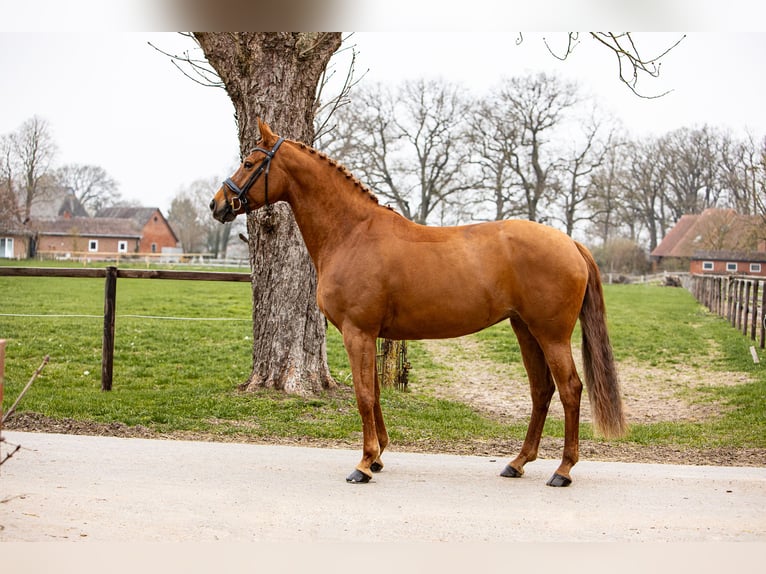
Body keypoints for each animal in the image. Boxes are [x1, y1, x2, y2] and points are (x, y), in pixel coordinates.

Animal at [210, 118, 627, 487]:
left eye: (249, 163)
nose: (218, 204)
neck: (352, 233)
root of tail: (570, 242)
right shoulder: (369, 335)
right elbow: (375, 392)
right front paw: (378, 456)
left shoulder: (357, 332)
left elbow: (363, 395)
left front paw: (363, 464)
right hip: (525, 330)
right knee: (542, 391)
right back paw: (518, 462)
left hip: (551, 335)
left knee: (570, 389)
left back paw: (563, 470)